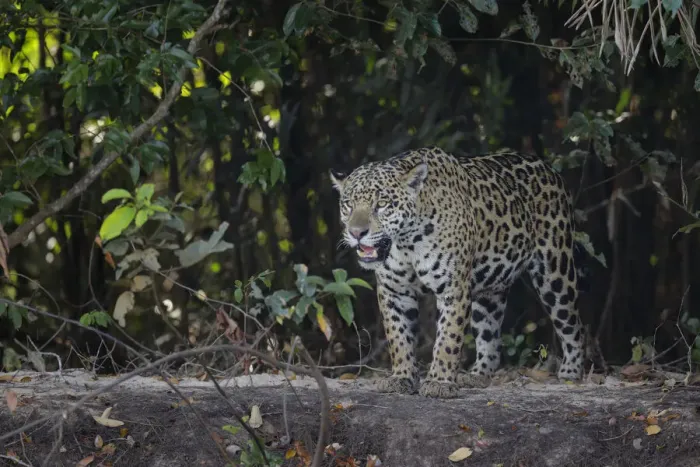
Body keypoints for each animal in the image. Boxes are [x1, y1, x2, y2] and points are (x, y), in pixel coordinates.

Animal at [330, 146, 586, 399]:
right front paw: (401, 377)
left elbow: (448, 338)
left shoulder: (453, 288)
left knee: (573, 325)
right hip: (489, 292)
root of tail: (548, 167)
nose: (356, 233)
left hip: (556, 274)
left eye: (382, 204)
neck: (406, 243)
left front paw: (439, 382)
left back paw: (571, 372)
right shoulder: (394, 292)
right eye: (348, 204)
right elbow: (399, 337)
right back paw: (477, 375)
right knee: (490, 337)